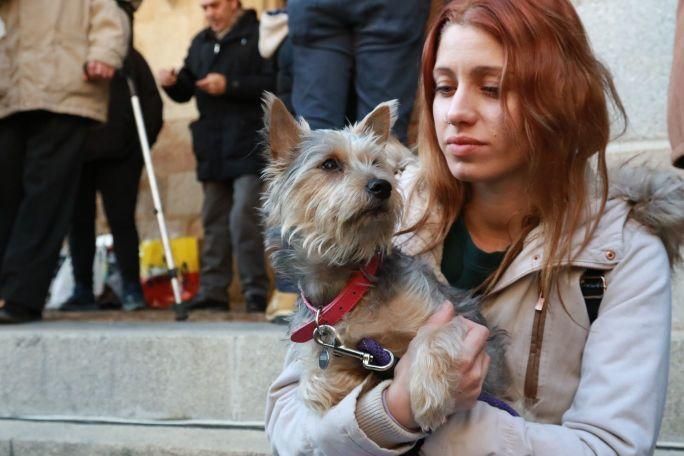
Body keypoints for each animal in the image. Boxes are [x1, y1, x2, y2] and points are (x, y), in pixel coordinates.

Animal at [262, 93, 508, 432]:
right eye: (329, 164)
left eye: (377, 163)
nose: (382, 186)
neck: (349, 283)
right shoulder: (327, 344)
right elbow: (313, 381)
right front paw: (331, 383)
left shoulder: (454, 319)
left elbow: (434, 336)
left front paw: (429, 395)